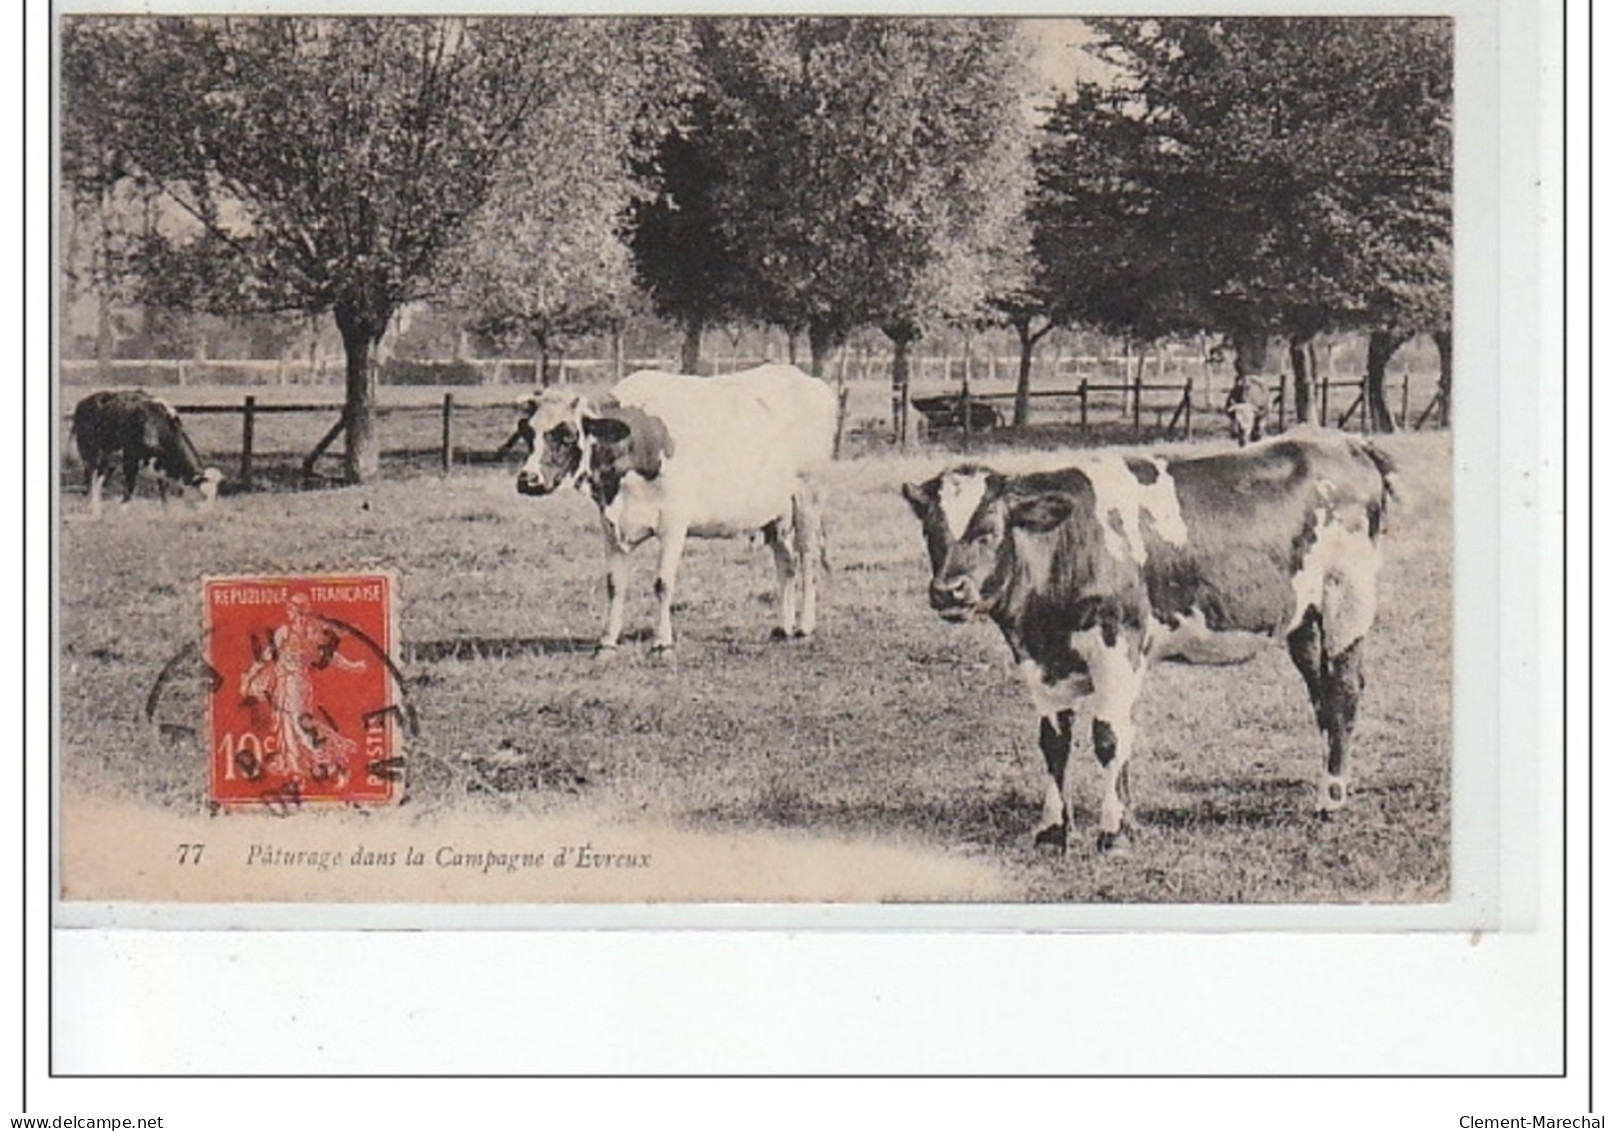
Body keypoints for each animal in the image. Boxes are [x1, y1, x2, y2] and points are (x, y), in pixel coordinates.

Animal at [72, 386, 222, 513]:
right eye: (203, 494)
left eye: (215, 494)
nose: (208, 513)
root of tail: (83, 402)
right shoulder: (130, 454)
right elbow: (131, 480)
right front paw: (124, 505)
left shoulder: (160, 461)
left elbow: (162, 484)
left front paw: (165, 508)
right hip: (88, 450)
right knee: (90, 475)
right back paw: (90, 502)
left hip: (107, 454)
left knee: (101, 475)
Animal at [520, 366, 846, 652]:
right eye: (528, 435)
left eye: (566, 435)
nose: (527, 479)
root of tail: (809, 380)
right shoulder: (611, 526)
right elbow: (614, 584)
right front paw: (607, 641)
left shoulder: (673, 523)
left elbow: (662, 583)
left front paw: (662, 642)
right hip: (775, 513)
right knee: (786, 562)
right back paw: (783, 627)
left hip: (807, 497)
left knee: (807, 559)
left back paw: (804, 626)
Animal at [904, 429, 1408, 846]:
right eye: (929, 531)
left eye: (989, 531)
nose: (948, 591)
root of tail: (1345, 441)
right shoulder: (1040, 660)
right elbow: (1056, 741)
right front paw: (1055, 830)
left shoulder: (1117, 642)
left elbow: (1108, 735)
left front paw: (1112, 832)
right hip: (1303, 619)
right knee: (1321, 695)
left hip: (1348, 596)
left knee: (1342, 692)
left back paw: (1331, 802)